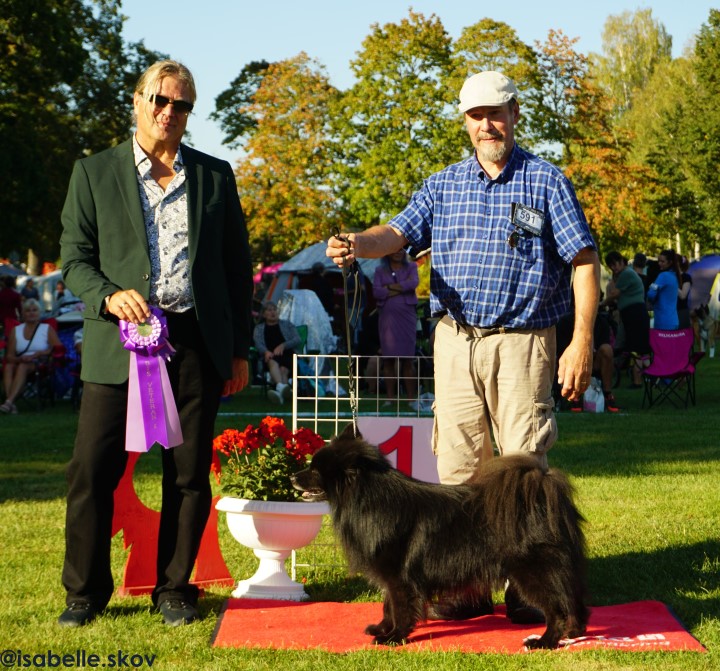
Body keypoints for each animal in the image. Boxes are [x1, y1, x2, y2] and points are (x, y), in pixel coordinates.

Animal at [290, 426, 588, 652]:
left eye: (315, 471)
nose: (292, 475)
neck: (367, 499)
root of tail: (541, 493)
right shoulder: (392, 578)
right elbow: (388, 606)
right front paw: (383, 629)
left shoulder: (399, 578)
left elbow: (400, 608)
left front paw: (393, 637)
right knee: (573, 602)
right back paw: (572, 632)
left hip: (533, 573)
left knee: (557, 609)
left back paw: (545, 641)